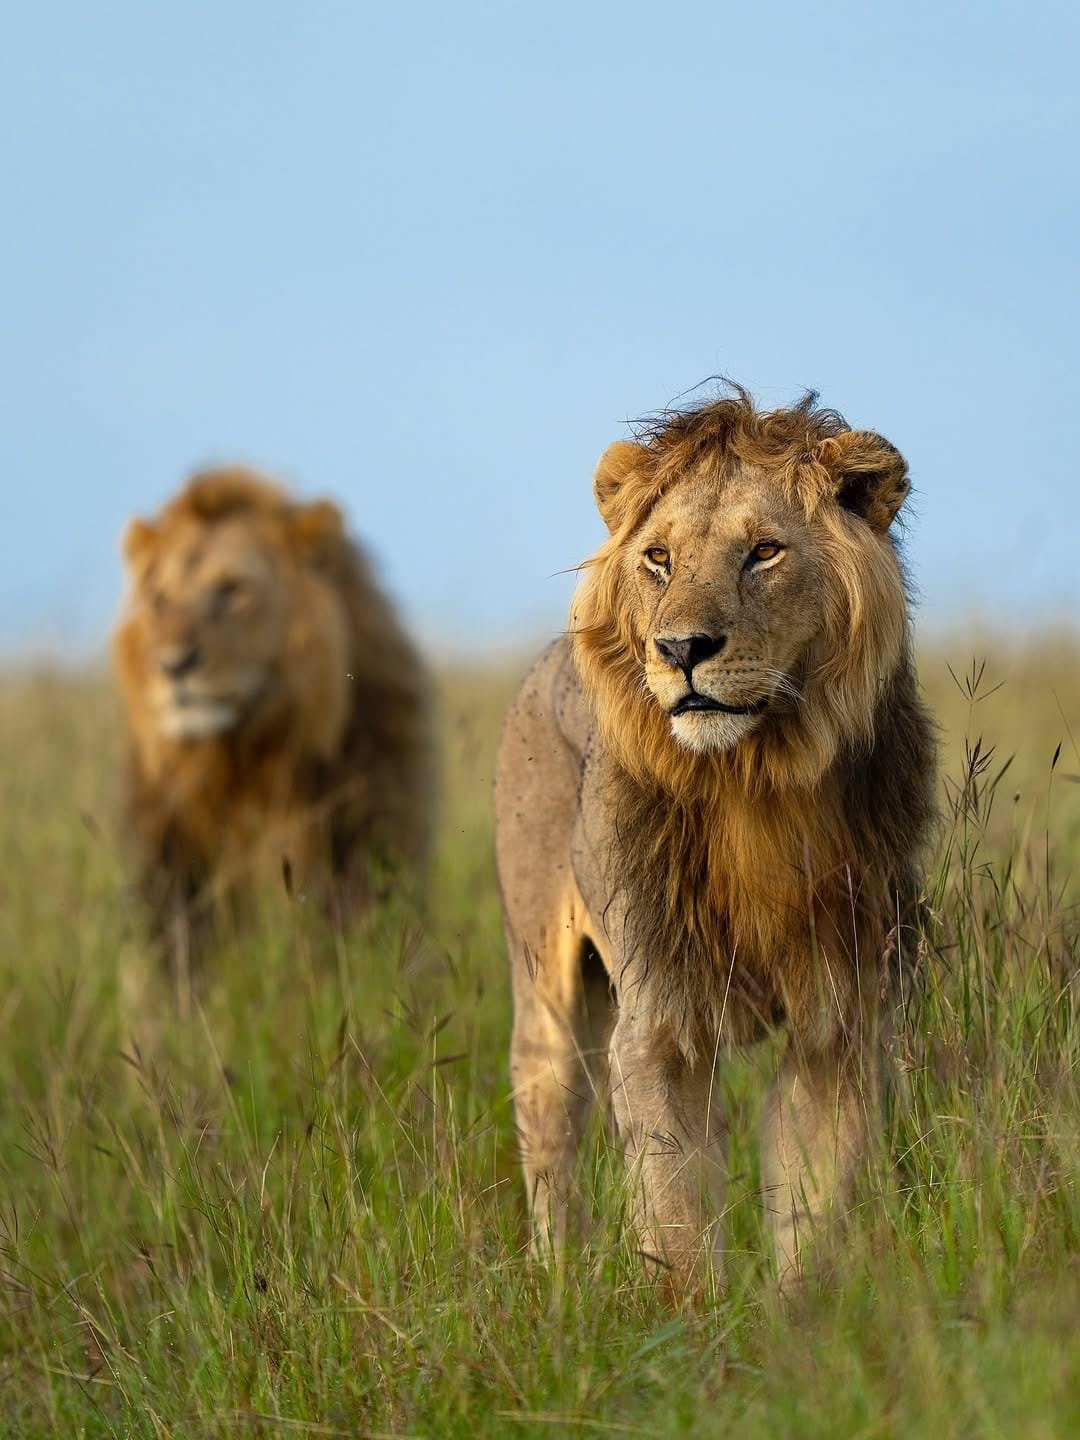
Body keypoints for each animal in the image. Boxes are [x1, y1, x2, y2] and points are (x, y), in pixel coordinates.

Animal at [495, 385, 937, 1288]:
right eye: (659, 559)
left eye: (763, 552)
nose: (680, 648)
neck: (752, 783)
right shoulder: (660, 1021)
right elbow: (675, 1214)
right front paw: (686, 1320)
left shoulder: (838, 1022)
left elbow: (813, 1204)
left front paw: (801, 1315)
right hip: (545, 995)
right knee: (552, 1143)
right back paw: (557, 1289)